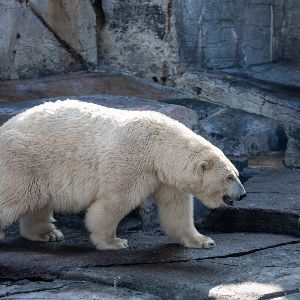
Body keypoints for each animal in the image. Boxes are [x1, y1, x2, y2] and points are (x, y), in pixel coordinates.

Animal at [0, 99, 245, 250]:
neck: (158, 146)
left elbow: (177, 209)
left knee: (37, 200)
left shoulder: (166, 177)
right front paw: (114, 242)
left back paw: (48, 233)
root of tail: (5, 127)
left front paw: (203, 240)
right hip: (24, 159)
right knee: (15, 197)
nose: (242, 194)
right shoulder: (131, 162)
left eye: (236, 173)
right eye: (229, 177)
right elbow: (115, 201)